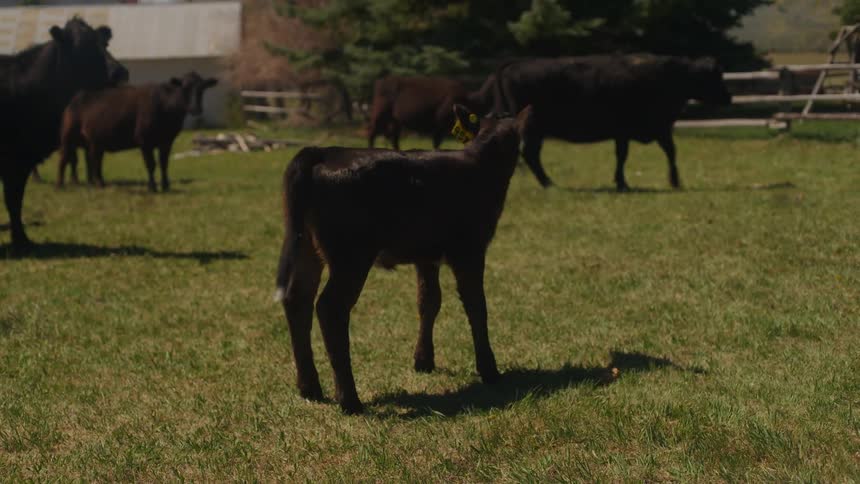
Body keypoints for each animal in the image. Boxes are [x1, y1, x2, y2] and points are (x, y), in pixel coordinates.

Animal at [0, 17, 128, 251]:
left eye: (104, 43)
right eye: (82, 47)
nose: (120, 72)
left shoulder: (23, 160)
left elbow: (16, 200)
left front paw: (21, 239)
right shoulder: (15, 160)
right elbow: (13, 200)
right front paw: (20, 240)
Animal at [56, 71, 218, 192]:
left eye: (202, 89)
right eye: (184, 89)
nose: (195, 109)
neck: (165, 108)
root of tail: (77, 97)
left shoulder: (167, 140)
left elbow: (164, 163)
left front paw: (166, 186)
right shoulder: (144, 140)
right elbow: (151, 164)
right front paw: (152, 187)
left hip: (95, 142)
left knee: (94, 160)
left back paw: (98, 184)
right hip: (68, 136)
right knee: (64, 158)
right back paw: (60, 185)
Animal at [274, 104, 533, 414]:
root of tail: (323, 151)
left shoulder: (427, 255)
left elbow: (429, 302)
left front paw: (423, 361)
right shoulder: (469, 250)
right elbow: (476, 306)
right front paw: (489, 370)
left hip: (305, 246)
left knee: (297, 299)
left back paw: (309, 388)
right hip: (350, 255)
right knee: (330, 308)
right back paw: (350, 400)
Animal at [489, 54, 732, 190]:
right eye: (715, 76)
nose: (729, 97)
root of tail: (513, 64)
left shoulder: (642, 131)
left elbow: (632, 155)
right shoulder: (649, 129)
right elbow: (661, 152)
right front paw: (672, 181)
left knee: (531, 155)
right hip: (533, 129)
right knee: (531, 154)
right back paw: (549, 184)